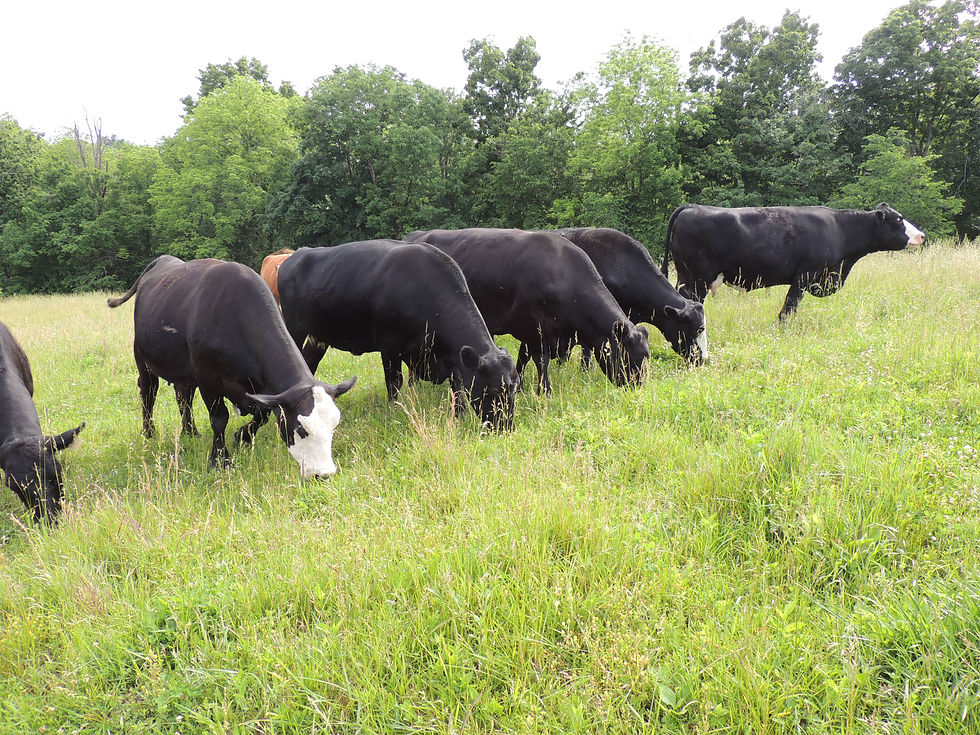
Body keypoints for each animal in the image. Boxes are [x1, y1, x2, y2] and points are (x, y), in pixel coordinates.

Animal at [107, 255, 356, 477]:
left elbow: (263, 413)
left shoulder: (262, 390)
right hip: (143, 359)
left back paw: (191, 431)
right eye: (301, 428)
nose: (324, 474)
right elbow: (219, 419)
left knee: (183, 396)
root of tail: (160, 261)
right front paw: (220, 459)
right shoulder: (208, 380)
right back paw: (149, 432)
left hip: (182, 369)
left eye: (334, 426)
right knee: (148, 392)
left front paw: (242, 435)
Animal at [277, 240, 519, 431]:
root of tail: (296, 255)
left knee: (309, 363)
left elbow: (457, 383)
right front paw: (393, 411)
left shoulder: (450, 354)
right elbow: (394, 382)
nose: (505, 427)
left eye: (515, 388)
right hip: (294, 329)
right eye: (495, 389)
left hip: (318, 336)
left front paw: (459, 414)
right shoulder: (390, 346)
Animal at [404, 228, 650, 394]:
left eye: (646, 355)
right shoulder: (533, 328)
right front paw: (545, 390)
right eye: (630, 356)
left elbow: (523, 358)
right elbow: (540, 360)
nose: (637, 386)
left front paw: (521, 386)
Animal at [662, 202, 926, 321]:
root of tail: (692, 207)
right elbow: (789, 308)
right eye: (898, 219)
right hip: (696, 280)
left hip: (686, 277)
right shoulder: (805, 275)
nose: (922, 235)